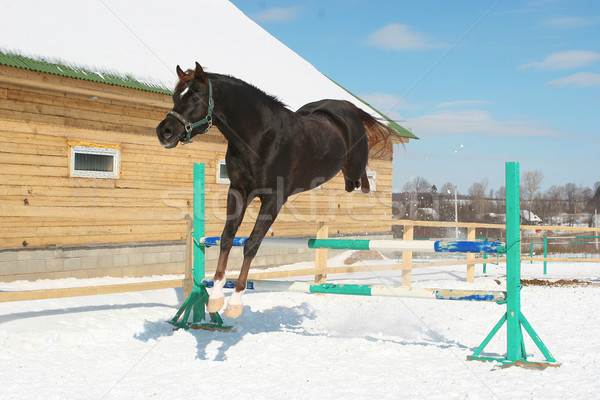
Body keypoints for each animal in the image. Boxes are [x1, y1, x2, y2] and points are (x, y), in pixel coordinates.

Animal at [156, 63, 394, 318]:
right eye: (175, 96)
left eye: (195, 97)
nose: (164, 132)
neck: (260, 137)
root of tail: (346, 105)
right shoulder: (239, 191)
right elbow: (227, 238)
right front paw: (217, 297)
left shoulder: (274, 199)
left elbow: (251, 244)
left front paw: (235, 302)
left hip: (353, 168)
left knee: (361, 181)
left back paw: (367, 184)